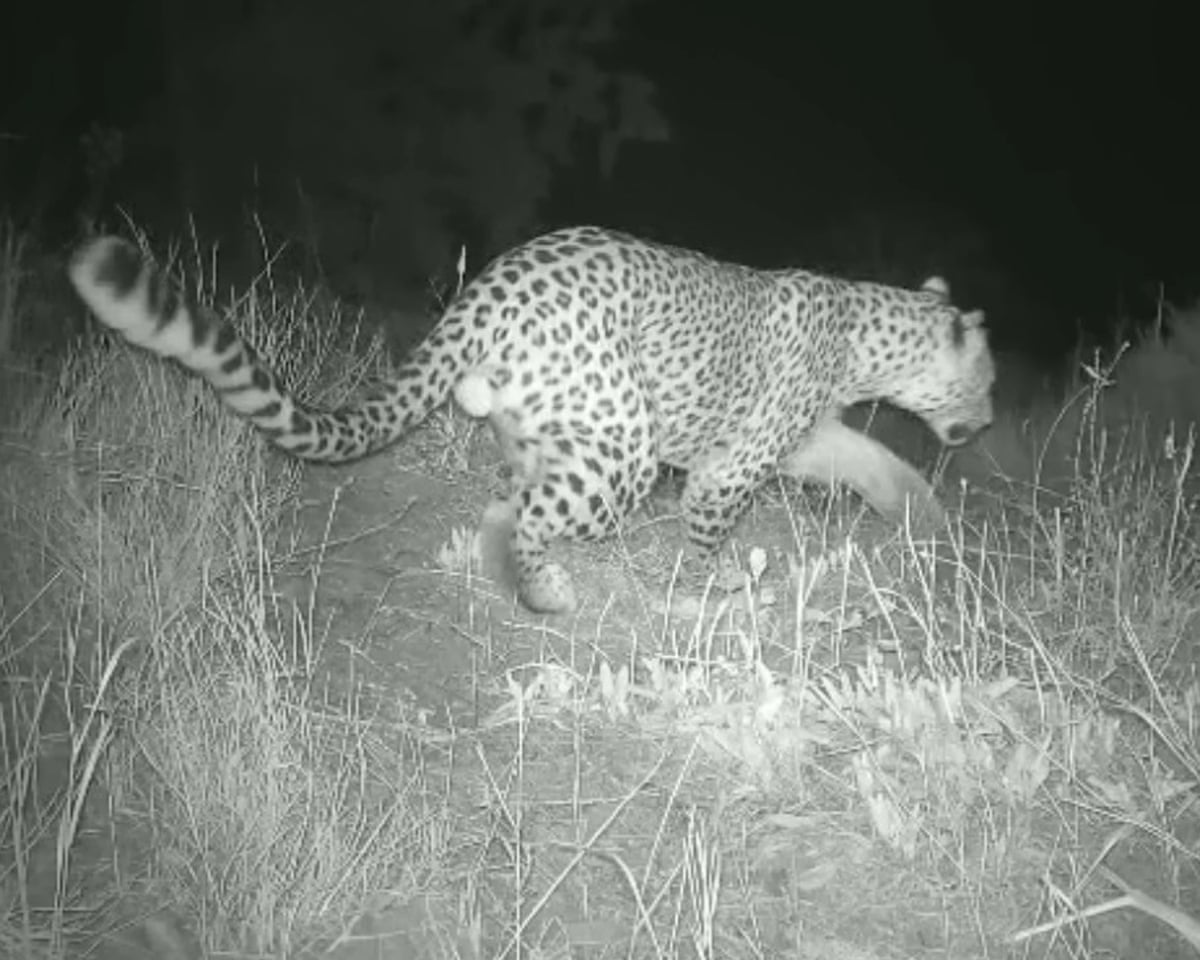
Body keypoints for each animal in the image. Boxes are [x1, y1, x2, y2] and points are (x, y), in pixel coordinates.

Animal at [68, 226, 995, 615]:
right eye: (986, 381)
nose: (987, 425)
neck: (871, 336)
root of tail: (491, 286)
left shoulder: (802, 438)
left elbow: (877, 461)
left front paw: (926, 516)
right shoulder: (731, 465)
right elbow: (710, 529)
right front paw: (718, 582)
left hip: (554, 427)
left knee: (508, 500)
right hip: (625, 445)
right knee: (515, 517)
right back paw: (545, 592)